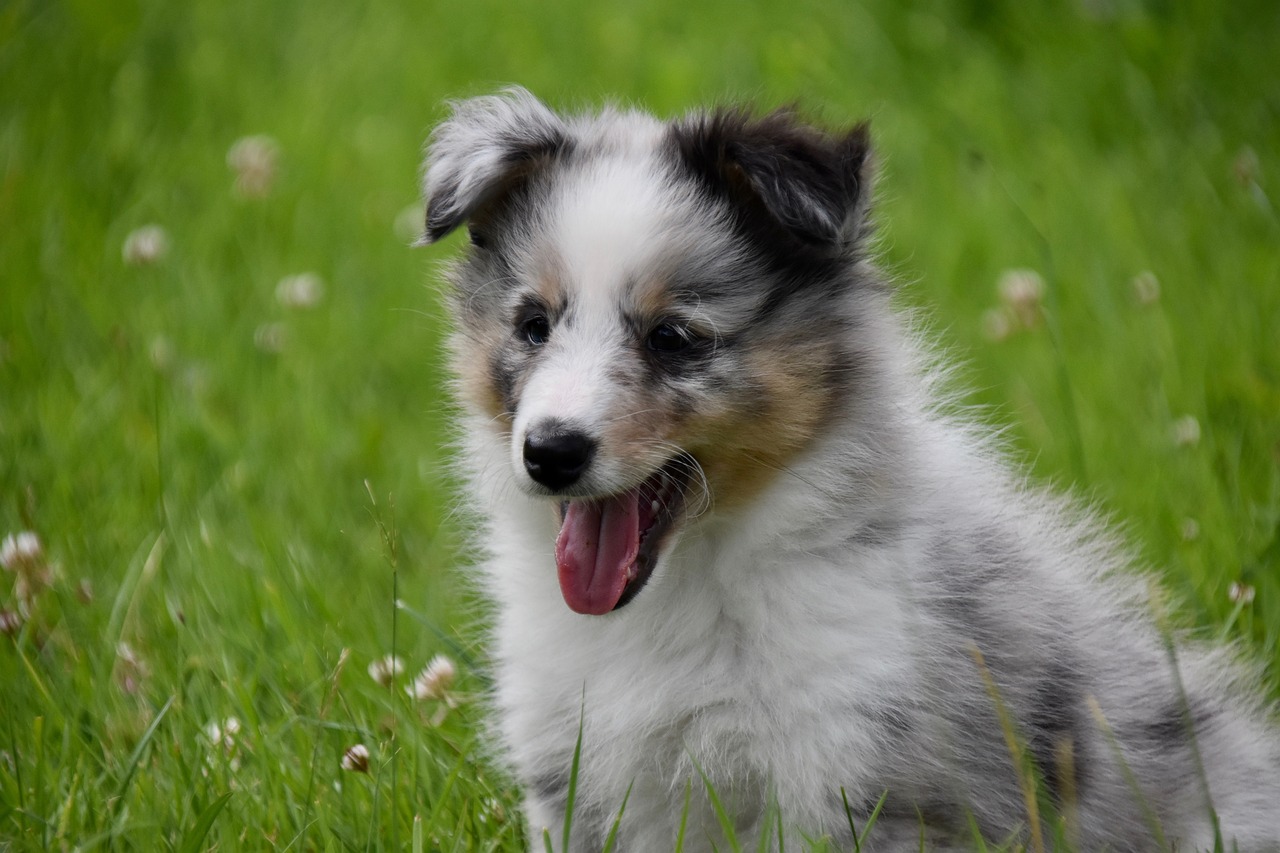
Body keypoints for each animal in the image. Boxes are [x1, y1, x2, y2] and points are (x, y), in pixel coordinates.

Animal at [419, 89, 1280, 845]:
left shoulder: (857, 776)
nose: (550, 452)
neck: (683, 590)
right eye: (533, 326)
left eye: (674, 337)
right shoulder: (573, 774)